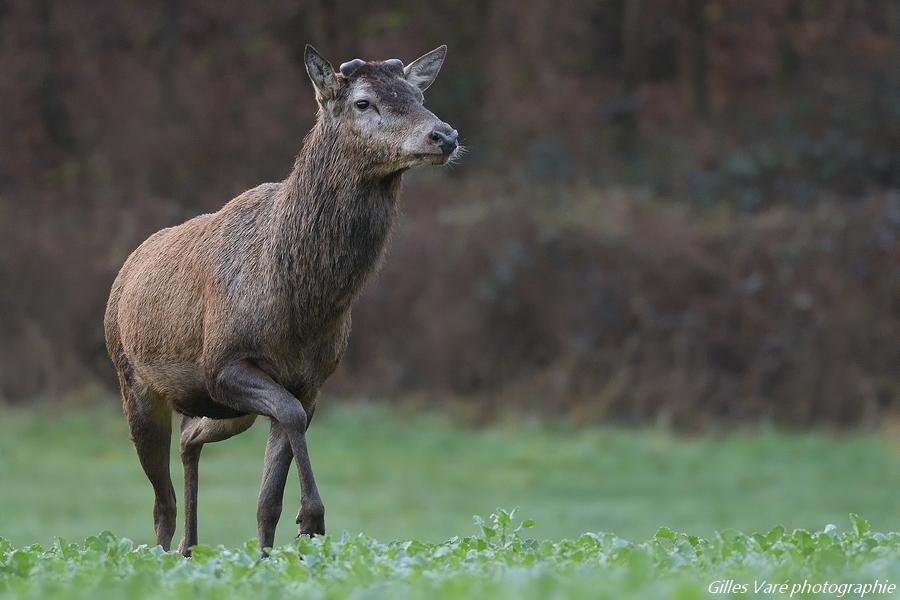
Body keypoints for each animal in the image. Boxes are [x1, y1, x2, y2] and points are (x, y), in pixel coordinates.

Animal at [102, 44, 460, 556]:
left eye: (418, 95)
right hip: (134, 380)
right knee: (160, 500)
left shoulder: (310, 382)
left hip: (221, 410)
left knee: (190, 439)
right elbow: (287, 419)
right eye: (363, 102)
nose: (444, 135)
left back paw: (192, 548)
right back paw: (166, 553)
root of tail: (125, 273)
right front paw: (312, 517)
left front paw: (274, 551)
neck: (299, 307)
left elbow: (267, 497)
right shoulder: (223, 364)